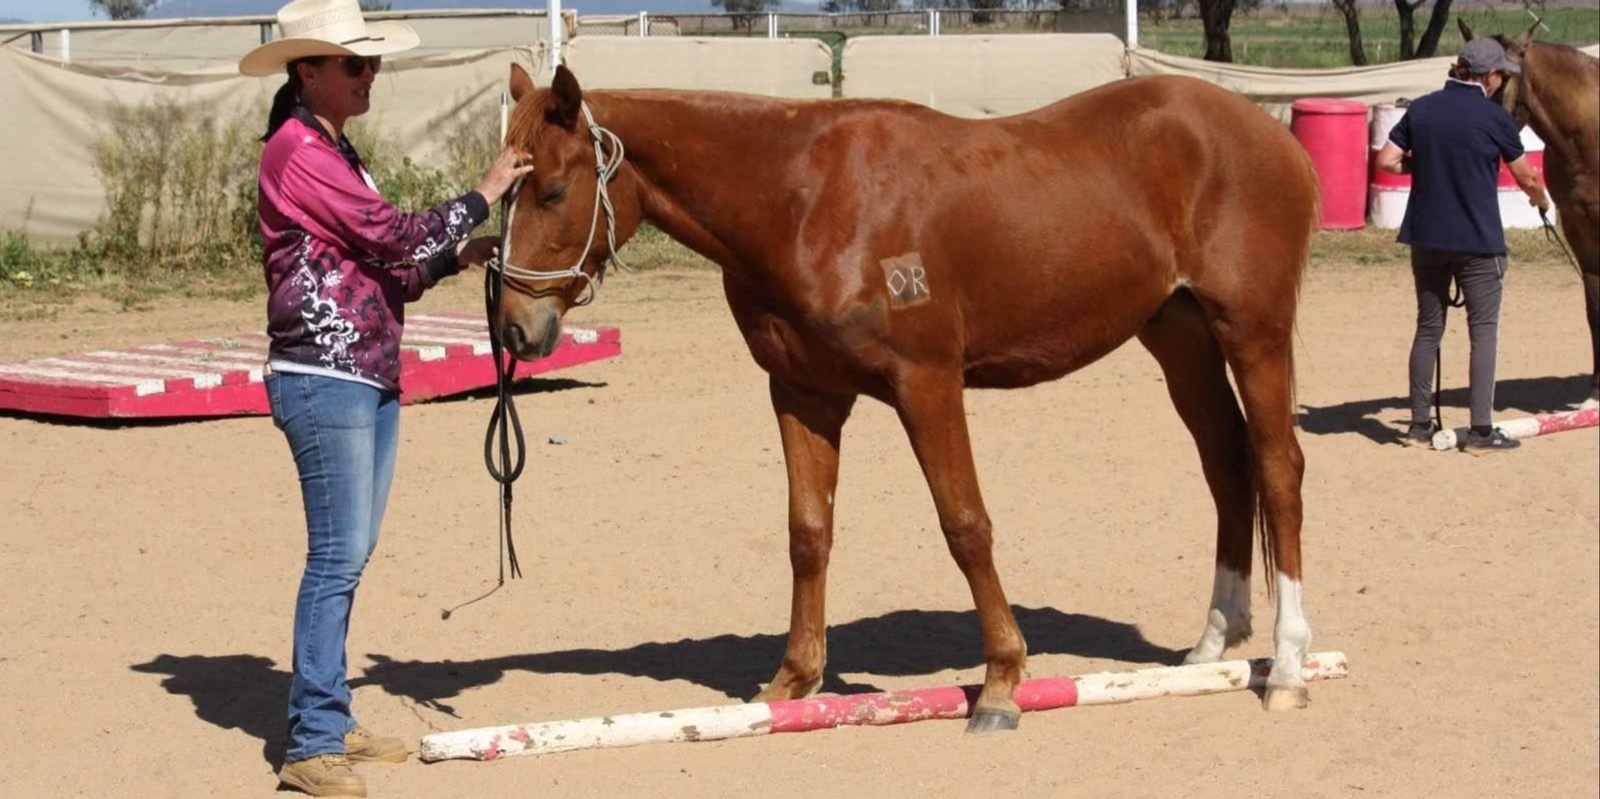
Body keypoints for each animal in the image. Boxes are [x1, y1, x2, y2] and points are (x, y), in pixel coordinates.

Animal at [492, 64, 1318, 733]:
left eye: (553, 189)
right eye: (504, 193)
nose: (514, 327)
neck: (802, 200)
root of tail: (1267, 134)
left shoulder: (927, 382)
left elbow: (965, 526)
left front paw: (1002, 683)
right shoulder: (804, 392)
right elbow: (808, 533)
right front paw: (792, 682)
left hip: (1254, 332)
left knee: (1278, 470)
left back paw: (1286, 666)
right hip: (1178, 335)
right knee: (1227, 467)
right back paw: (1212, 645)